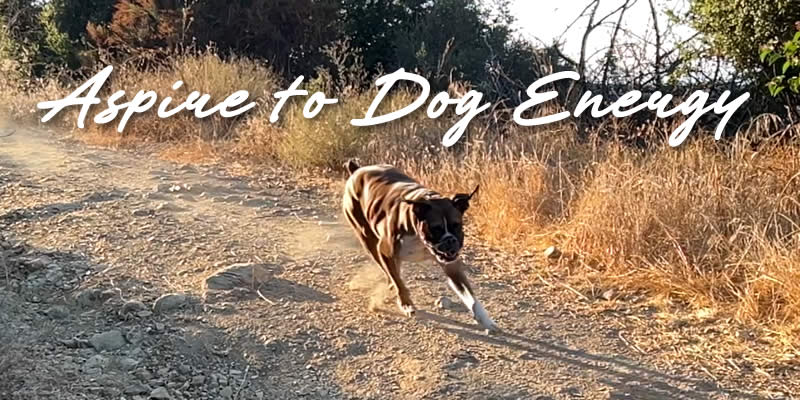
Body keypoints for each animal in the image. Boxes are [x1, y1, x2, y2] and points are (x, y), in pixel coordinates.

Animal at [340, 159, 496, 332]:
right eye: (436, 228)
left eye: (456, 225)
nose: (450, 240)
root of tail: (357, 170)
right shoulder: (385, 251)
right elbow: (399, 282)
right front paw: (406, 304)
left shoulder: (452, 267)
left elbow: (471, 297)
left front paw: (486, 320)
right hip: (369, 242)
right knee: (390, 273)